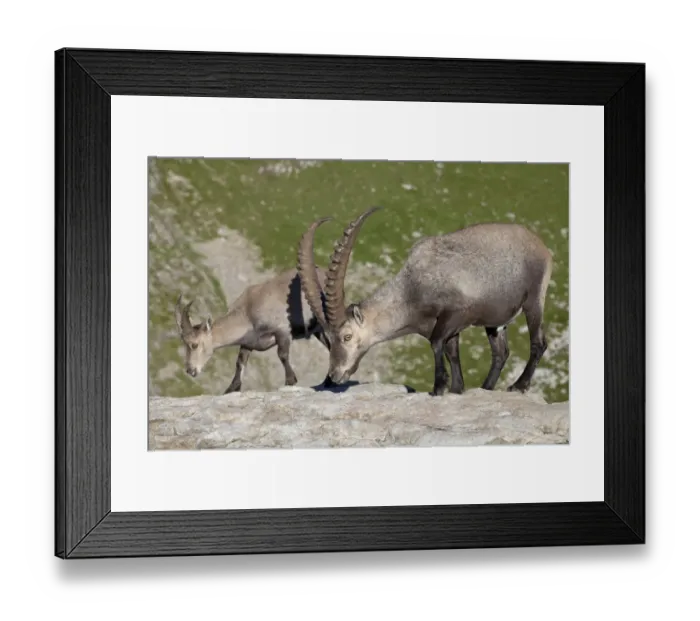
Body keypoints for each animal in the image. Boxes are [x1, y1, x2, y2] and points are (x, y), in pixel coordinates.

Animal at [174, 268, 333, 394]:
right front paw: (231, 388)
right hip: (318, 331)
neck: (247, 311)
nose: (190, 370)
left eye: (194, 344)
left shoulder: (282, 331)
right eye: (184, 343)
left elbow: (282, 355)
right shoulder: (248, 343)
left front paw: (290, 381)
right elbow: (240, 363)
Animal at [297, 206, 553, 396]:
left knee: (538, 342)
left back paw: (519, 386)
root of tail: (541, 246)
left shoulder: (455, 314)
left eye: (347, 336)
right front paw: (456, 388)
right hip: (496, 321)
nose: (334, 375)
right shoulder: (449, 327)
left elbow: (436, 343)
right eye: (327, 339)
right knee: (501, 352)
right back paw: (486, 388)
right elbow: (451, 352)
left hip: (534, 298)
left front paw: (438, 387)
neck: (411, 290)